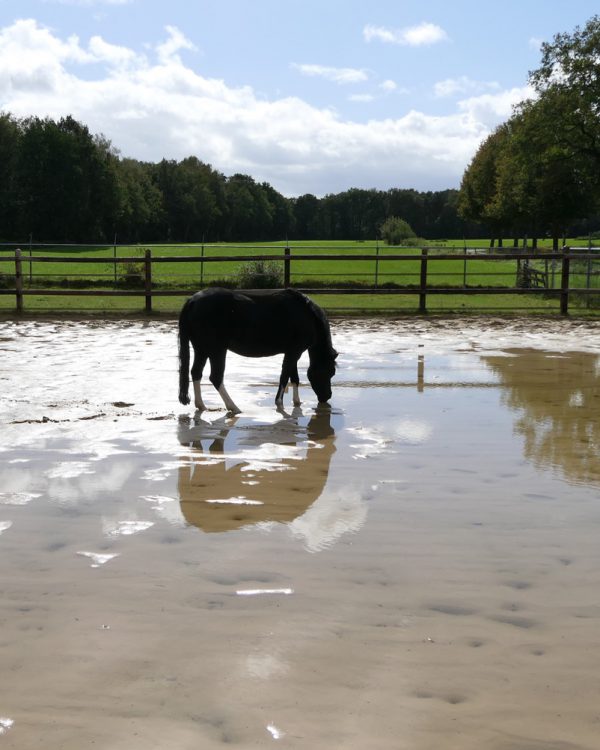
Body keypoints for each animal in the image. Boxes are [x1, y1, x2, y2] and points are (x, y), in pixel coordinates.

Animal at [178, 290, 338, 418]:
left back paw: (201, 406)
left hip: (202, 349)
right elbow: (284, 376)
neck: (307, 315)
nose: (327, 397)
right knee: (216, 377)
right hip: (217, 350)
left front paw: (297, 402)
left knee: (196, 372)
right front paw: (279, 403)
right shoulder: (294, 352)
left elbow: (294, 378)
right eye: (329, 371)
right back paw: (234, 407)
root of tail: (192, 300)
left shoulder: (292, 352)